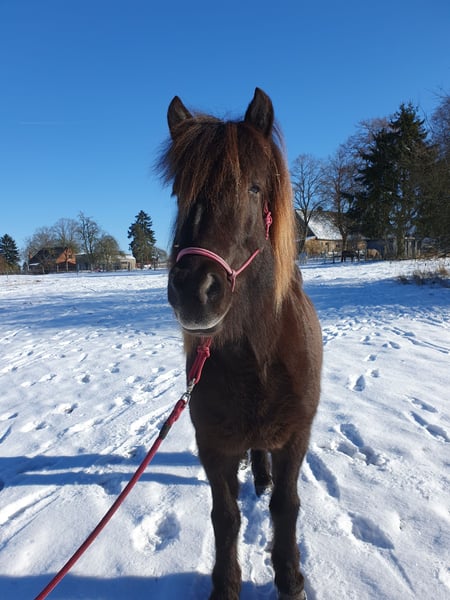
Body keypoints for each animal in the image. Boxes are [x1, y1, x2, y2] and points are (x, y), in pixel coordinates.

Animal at [159, 88, 322, 600]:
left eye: (253, 188)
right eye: (179, 193)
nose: (194, 291)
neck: (256, 357)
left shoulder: (295, 437)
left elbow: (286, 507)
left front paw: (289, 579)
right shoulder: (213, 444)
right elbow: (225, 516)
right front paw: (226, 585)